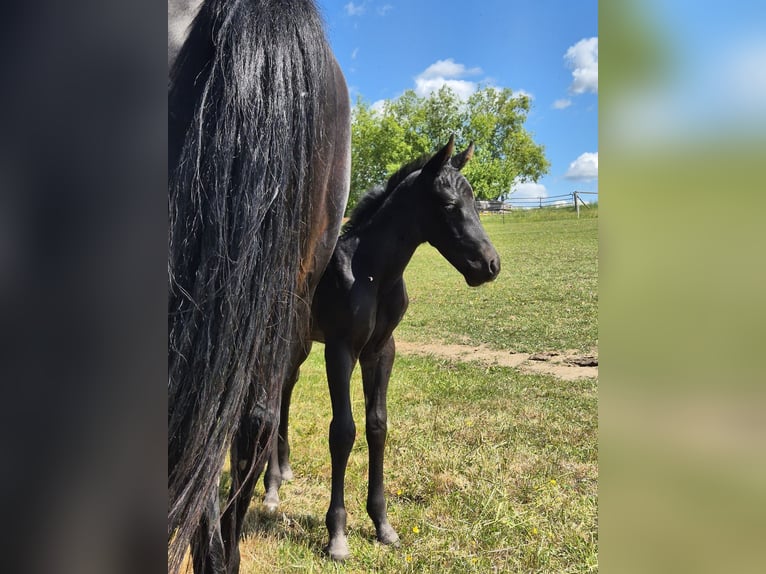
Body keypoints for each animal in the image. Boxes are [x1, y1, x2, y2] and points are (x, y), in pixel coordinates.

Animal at [230, 136, 501, 561]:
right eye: (446, 204)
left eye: (475, 201)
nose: (490, 265)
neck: (372, 272)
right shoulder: (341, 350)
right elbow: (343, 431)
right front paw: (337, 535)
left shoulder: (381, 351)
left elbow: (377, 426)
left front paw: (382, 524)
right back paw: (271, 489)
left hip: (299, 345)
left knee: (285, 392)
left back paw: (282, 474)